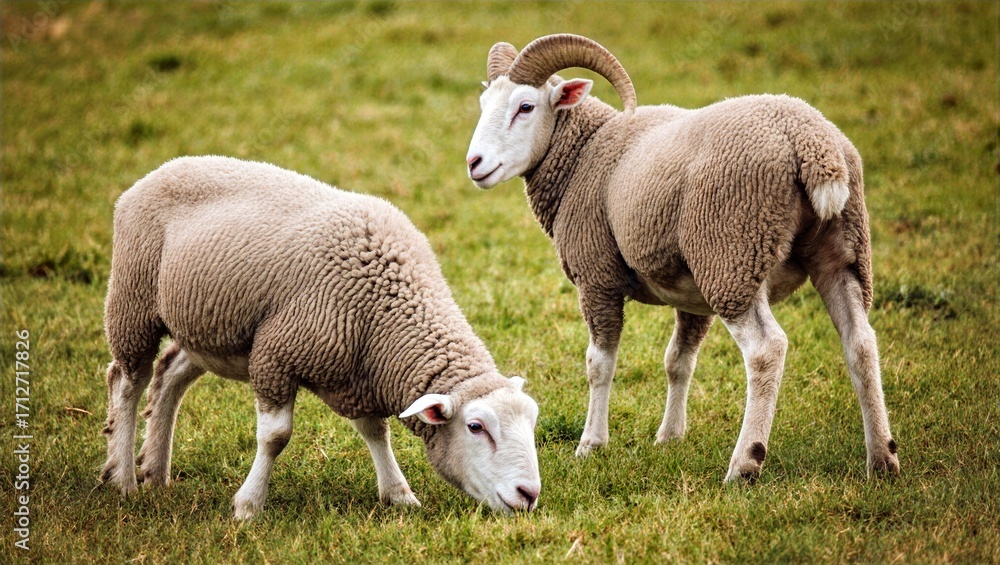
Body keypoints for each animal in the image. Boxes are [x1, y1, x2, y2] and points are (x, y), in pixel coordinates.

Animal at [100, 155, 541, 519]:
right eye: (476, 427)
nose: (529, 494)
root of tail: (163, 169)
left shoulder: (356, 375)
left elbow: (375, 432)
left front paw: (398, 493)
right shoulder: (275, 355)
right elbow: (275, 437)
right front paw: (248, 506)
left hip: (206, 326)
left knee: (169, 374)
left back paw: (155, 472)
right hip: (133, 300)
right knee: (127, 381)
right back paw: (123, 479)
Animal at [465, 34, 899, 481]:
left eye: (526, 106)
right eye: (484, 104)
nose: (474, 163)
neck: (582, 154)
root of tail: (811, 143)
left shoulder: (597, 275)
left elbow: (599, 364)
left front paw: (590, 445)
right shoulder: (692, 294)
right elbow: (678, 360)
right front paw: (670, 437)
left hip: (732, 257)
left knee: (767, 350)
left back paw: (745, 464)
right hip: (839, 253)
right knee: (860, 342)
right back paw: (882, 459)